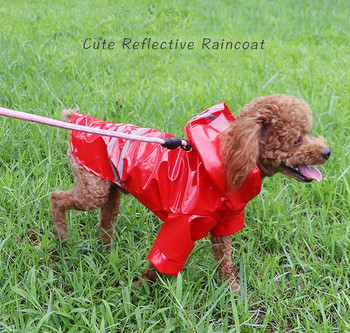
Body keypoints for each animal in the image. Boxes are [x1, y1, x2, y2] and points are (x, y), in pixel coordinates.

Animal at [50, 94, 330, 290]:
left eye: (307, 134)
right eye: (296, 140)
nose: (327, 152)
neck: (227, 160)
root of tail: (78, 119)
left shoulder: (224, 224)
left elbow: (225, 260)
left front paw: (232, 292)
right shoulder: (180, 224)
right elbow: (162, 259)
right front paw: (141, 286)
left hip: (112, 190)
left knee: (105, 224)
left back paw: (109, 254)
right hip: (93, 187)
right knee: (56, 198)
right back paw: (63, 236)